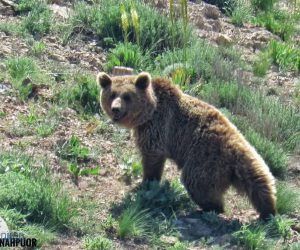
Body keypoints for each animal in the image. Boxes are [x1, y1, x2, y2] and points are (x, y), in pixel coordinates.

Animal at [98, 72, 276, 219]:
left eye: (127, 96)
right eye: (112, 94)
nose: (115, 109)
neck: (148, 114)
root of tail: (235, 148)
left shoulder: (159, 127)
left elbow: (152, 157)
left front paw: (146, 183)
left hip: (206, 160)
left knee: (197, 183)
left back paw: (206, 209)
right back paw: (268, 209)